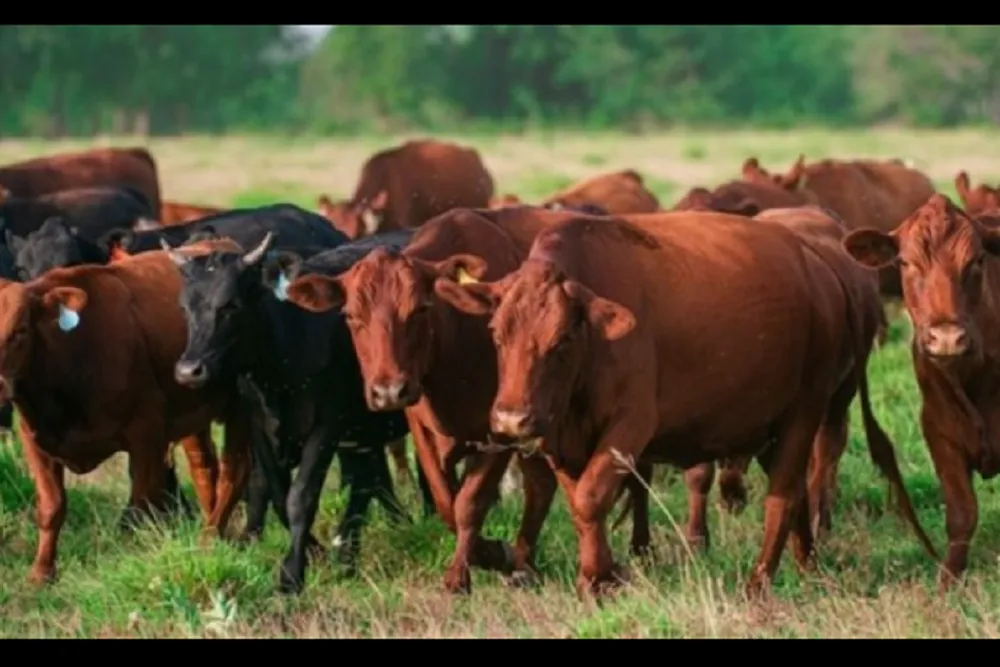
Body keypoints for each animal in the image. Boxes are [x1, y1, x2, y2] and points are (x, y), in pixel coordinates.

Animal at [0, 248, 252, 584]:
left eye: (20, 331)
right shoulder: (35, 440)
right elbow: (51, 507)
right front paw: (41, 573)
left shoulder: (147, 434)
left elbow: (138, 508)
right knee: (204, 469)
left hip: (240, 407)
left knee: (233, 472)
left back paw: (211, 538)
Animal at [165, 230, 416, 594]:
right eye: (185, 308)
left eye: (230, 305)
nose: (188, 371)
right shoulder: (259, 425)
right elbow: (274, 492)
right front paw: (305, 553)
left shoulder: (327, 425)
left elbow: (300, 497)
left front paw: (292, 575)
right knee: (369, 482)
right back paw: (353, 551)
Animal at [277, 207, 659, 594]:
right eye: (351, 316)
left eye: (419, 310)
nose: (388, 391)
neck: (455, 338)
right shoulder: (425, 432)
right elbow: (446, 502)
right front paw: (489, 555)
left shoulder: (500, 433)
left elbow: (469, 503)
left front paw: (474, 567)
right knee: (544, 486)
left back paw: (638, 552)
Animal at [429, 210, 936, 600]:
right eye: (496, 333)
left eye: (561, 340)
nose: (511, 419)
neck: (595, 350)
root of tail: (820, 266)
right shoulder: (560, 436)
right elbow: (580, 503)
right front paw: (606, 573)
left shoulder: (630, 427)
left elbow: (593, 496)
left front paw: (595, 580)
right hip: (769, 425)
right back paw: (807, 564)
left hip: (803, 412)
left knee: (785, 495)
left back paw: (759, 582)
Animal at [840, 193, 1000, 590]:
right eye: (905, 262)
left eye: (977, 260)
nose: (946, 338)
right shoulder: (939, 428)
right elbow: (961, 513)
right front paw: (948, 580)